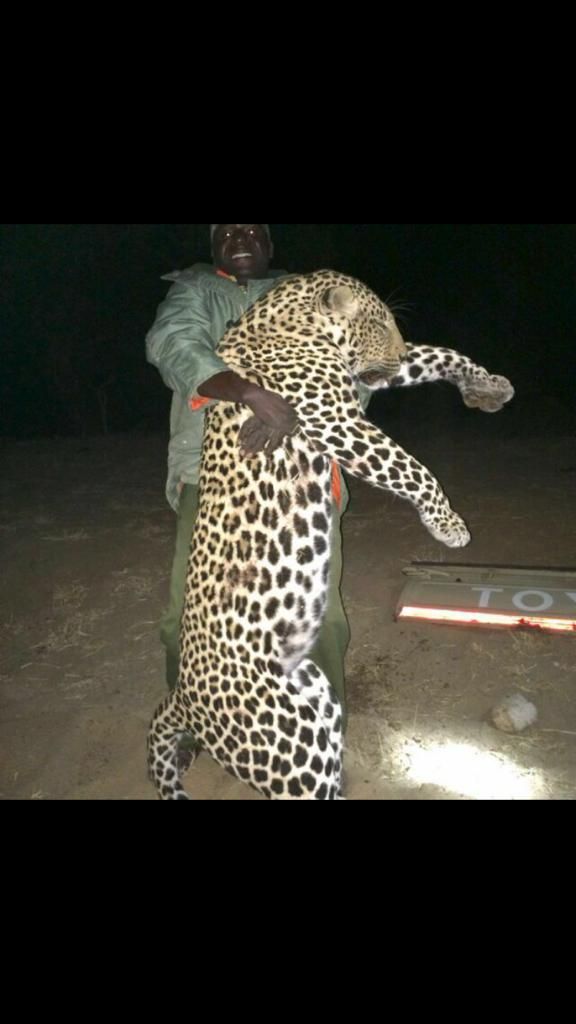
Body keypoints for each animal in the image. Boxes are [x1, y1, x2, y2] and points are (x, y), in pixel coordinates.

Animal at [148, 270, 514, 800]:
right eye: (379, 323)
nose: (396, 351)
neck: (292, 321)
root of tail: (183, 698)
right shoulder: (335, 420)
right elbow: (410, 468)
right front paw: (447, 526)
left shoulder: (360, 378)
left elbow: (435, 353)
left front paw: (488, 385)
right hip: (291, 750)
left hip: (315, 697)